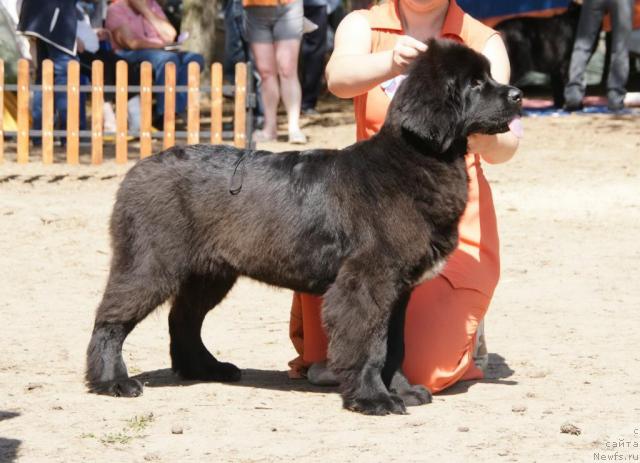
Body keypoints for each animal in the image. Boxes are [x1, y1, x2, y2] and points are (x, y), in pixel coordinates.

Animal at [87, 39, 524, 416]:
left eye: (490, 75)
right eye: (476, 83)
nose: (518, 95)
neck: (415, 158)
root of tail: (137, 170)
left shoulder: (397, 289)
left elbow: (395, 344)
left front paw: (403, 390)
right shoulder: (366, 282)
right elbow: (371, 345)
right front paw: (374, 400)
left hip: (210, 272)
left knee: (184, 319)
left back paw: (206, 369)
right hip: (150, 262)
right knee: (111, 319)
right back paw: (112, 381)